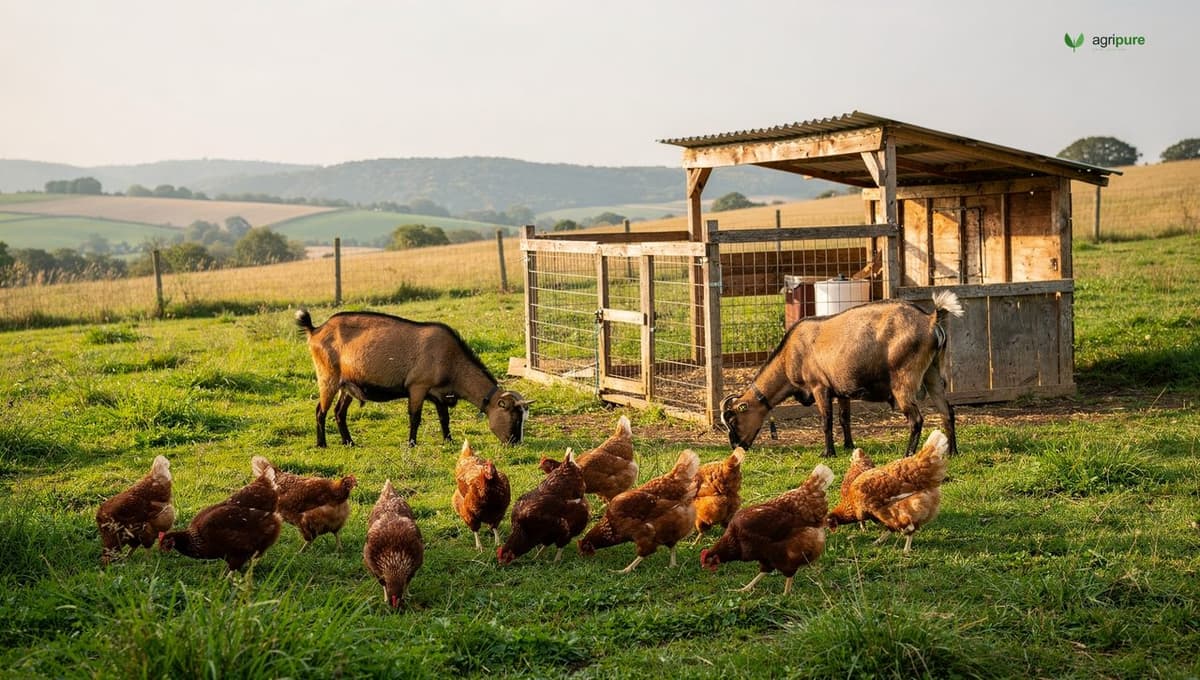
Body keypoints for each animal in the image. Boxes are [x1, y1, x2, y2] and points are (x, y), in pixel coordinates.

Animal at [296, 308, 531, 448]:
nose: (516, 443)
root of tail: (316, 329)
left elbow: (444, 418)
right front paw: (411, 443)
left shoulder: (439, 394)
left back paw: (349, 442)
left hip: (347, 385)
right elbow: (415, 417)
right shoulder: (418, 387)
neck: (451, 360)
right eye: (514, 418)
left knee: (339, 412)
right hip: (327, 377)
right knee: (320, 411)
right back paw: (322, 444)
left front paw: (448, 440)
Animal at [721, 291, 963, 458]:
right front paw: (848, 446)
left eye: (732, 420)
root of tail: (930, 320)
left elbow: (826, 421)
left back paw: (907, 454)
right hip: (932, 373)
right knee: (947, 411)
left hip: (903, 380)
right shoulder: (843, 389)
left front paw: (828, 453)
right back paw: (953, 452)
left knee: (916, 419)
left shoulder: (819, 386)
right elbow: (844, 418)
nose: (736, 446)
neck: (790, 354)